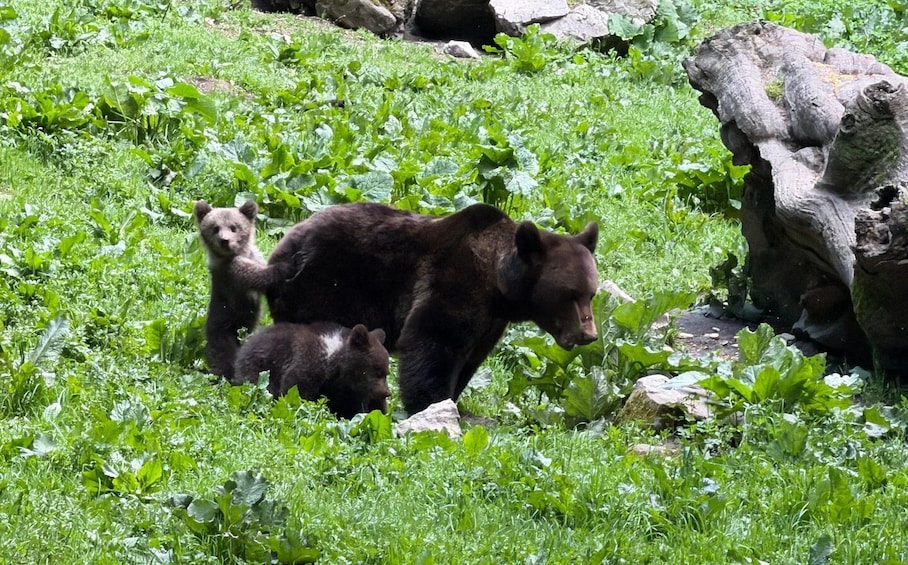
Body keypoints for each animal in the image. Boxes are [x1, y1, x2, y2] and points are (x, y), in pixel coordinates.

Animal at [233, 322, 390, 419]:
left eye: (386, 372)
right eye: (377, 370)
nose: (386, 393)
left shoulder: (347, 391)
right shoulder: (308, 363)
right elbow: (297, 390)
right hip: (259, 370)